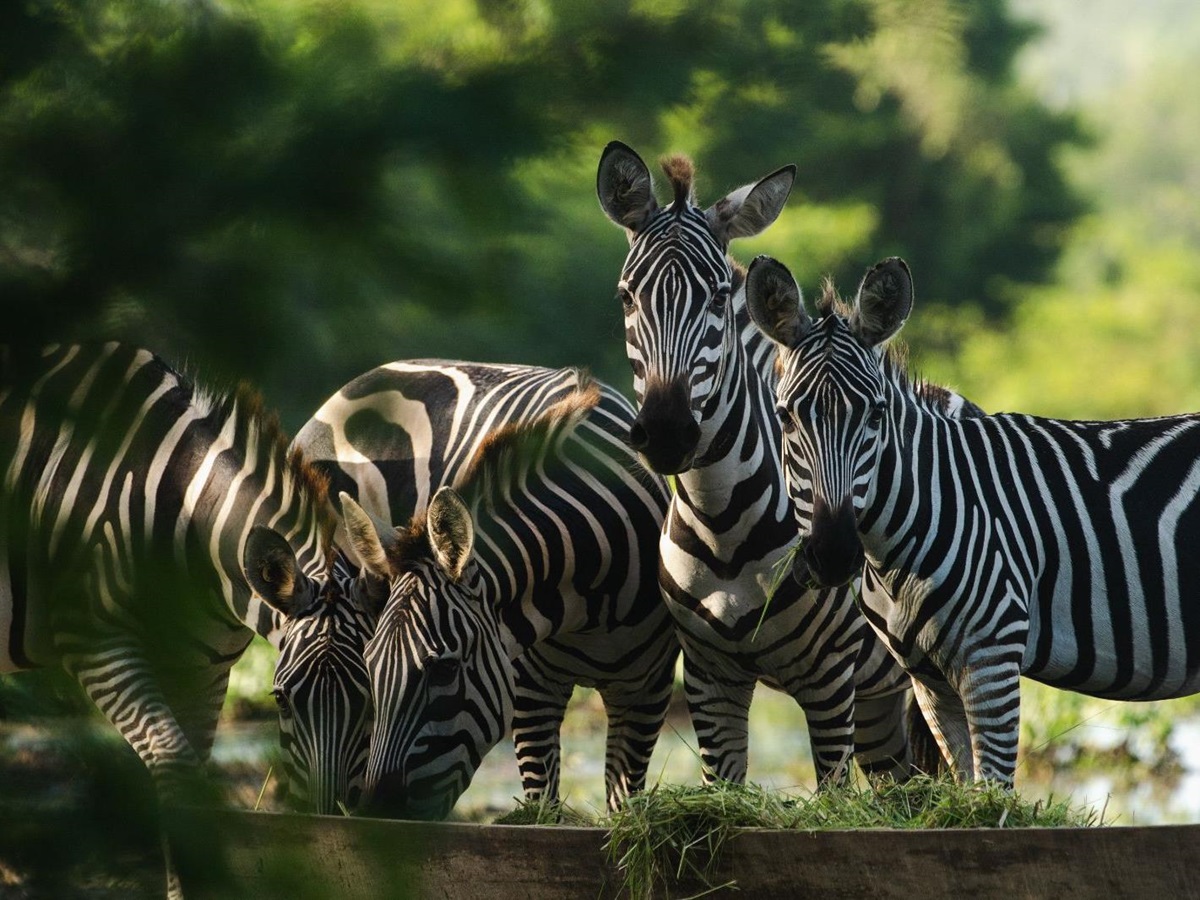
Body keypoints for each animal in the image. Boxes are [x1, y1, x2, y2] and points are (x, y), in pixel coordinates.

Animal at [0, 342, 380, 893]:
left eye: (371, 699)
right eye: (281, 700)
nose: (329, 825)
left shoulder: (203, 668)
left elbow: (192, 783)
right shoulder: (96, 642)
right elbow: (175, 768)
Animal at [292, 361, 679, 817]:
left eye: (444, 670)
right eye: (371, 667)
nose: (381, 819)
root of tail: (362, 380)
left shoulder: (646, 695)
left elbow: (622, 805)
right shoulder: (530, 692)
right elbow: (542, 804)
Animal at [596, 141, 968, 784]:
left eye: (720, 296)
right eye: (626, 295)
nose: (667, 432)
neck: (722, 524)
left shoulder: (830, 680)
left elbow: (833, 792)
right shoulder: (708, 675)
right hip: (881, 698)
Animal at [744, 252, 1200, 786]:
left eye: (877, 415)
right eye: (785, 417)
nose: (834, 555)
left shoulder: (992, 659)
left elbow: (994, 791)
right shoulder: (928, 678)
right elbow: (964, 786)